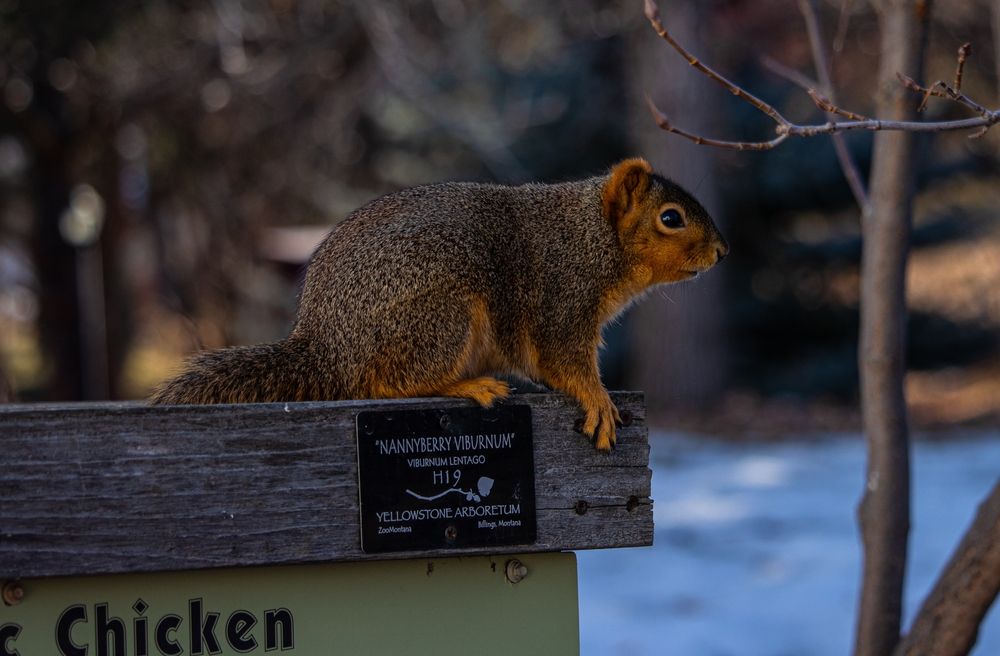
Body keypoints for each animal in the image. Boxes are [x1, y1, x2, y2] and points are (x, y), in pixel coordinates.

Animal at [150, 158, 728, 451]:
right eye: (671, 218)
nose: (723, 252)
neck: (593, 239)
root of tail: (330, 347)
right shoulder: (561, 302)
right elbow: (565, 361)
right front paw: (599, 400)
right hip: (441, 312)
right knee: (386, 384)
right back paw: (469, 385)